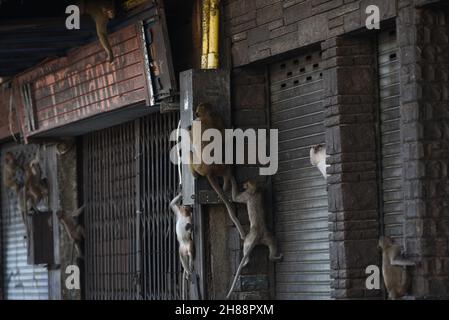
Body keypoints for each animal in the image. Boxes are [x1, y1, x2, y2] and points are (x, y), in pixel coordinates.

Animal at [189, 102, 245, 240]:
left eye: (198, 110)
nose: (196, 113)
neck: (207, 116)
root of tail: (209, 170)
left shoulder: (198, 122)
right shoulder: (218, 118)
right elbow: (224, 136)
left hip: (199, 166)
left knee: (190, 153)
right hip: (220, 166)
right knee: (226, 166)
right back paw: (226, 181)